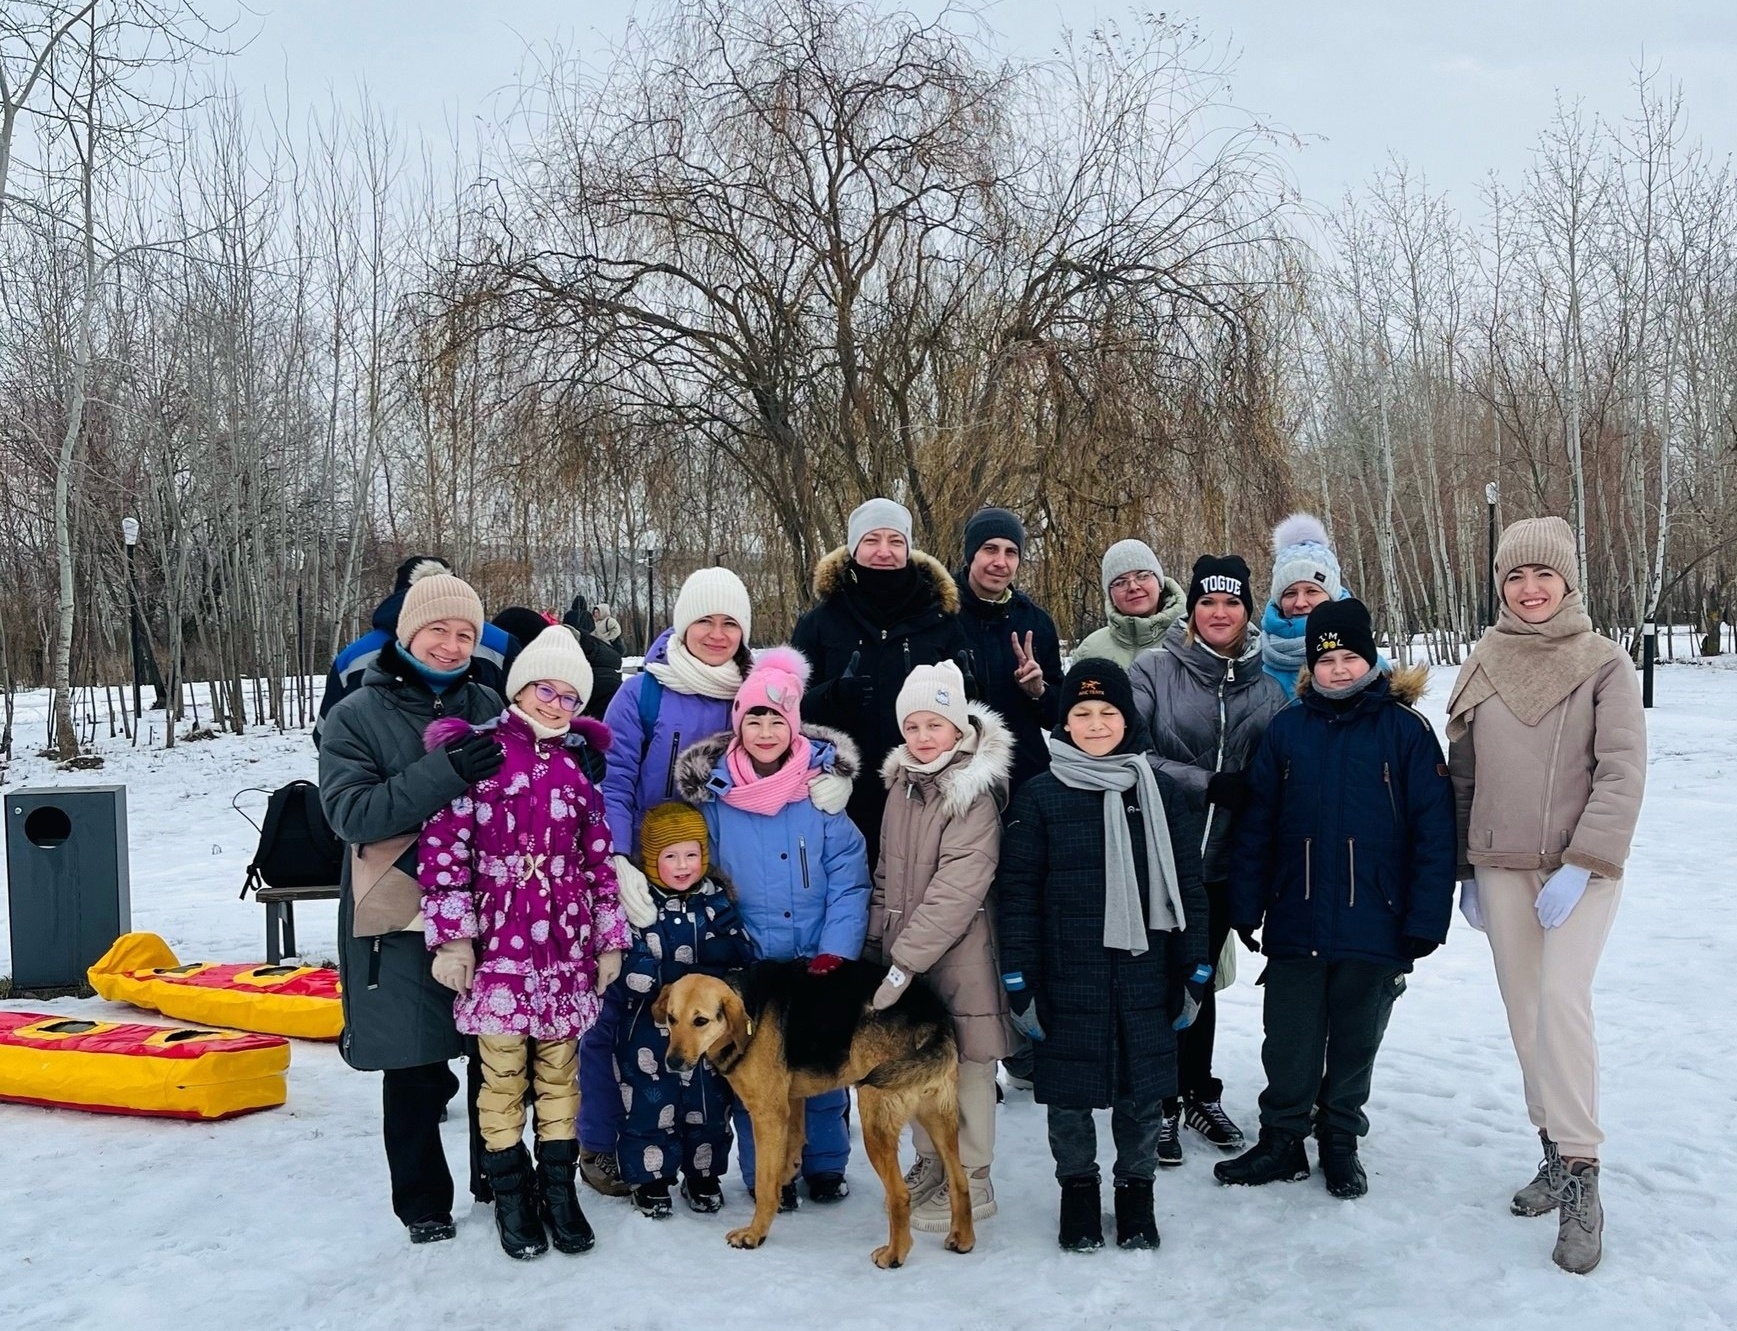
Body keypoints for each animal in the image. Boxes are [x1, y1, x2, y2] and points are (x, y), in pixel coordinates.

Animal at [653, 959, 979, 1271]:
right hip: (940, 1116)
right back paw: (962, 1238)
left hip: (876, 1121)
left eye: (701, 1021)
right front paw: (784, 1186)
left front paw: (755, 1234)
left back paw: (894, 1254)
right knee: (959, 1179)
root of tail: (932, 1017)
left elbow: (764, 1183)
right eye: (671, 1018)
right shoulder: (792, 1102)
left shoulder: (767, 1113)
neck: (749, 1013)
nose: (673, 1062)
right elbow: (790, 1153)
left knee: (900, 1196)